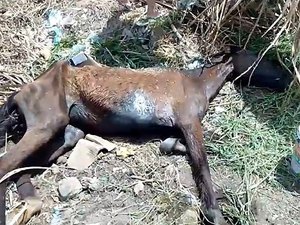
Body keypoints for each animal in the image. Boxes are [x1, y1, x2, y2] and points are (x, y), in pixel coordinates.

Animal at [0, 46, 292, 225]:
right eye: (263, 58)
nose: (289, 80)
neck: (197, 82)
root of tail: (22, 90)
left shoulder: (176, 129)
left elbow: (170, 145)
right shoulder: (189, 122)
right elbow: (203, 164)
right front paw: (215, 214)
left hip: (68, 131)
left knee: (24, 167)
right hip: (47, 123)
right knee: (7, 165)